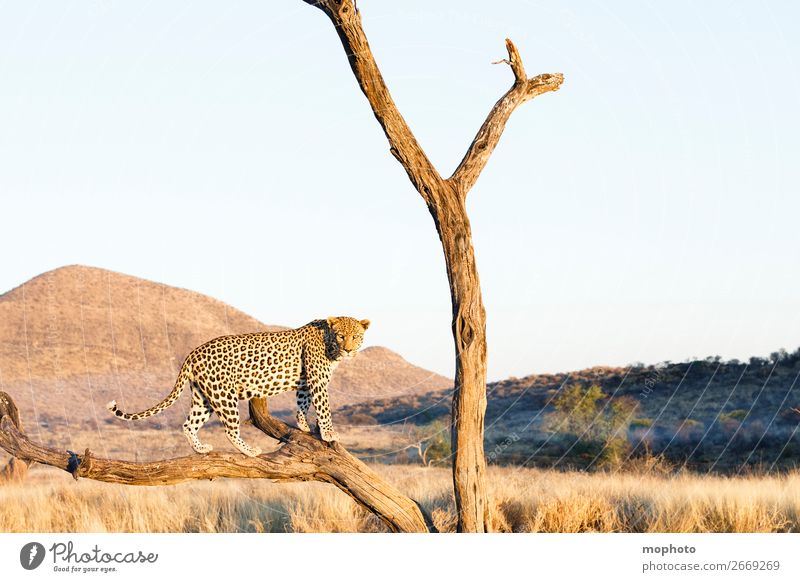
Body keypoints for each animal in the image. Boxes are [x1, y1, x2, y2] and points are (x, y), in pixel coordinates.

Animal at [104, 318, 370, 458]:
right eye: (341, 336)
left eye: (356, 336)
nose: (348, 349)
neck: (328, 344)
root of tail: (192, 353)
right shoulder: (318, 380)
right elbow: (324, 408)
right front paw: (329, 433)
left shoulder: (306, 382)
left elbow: (302, 403)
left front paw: (304, 426)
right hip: (224, 396)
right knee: (230, 430)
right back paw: (250, 450)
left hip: (203, 397)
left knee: (188, 424)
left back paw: (201, 449)